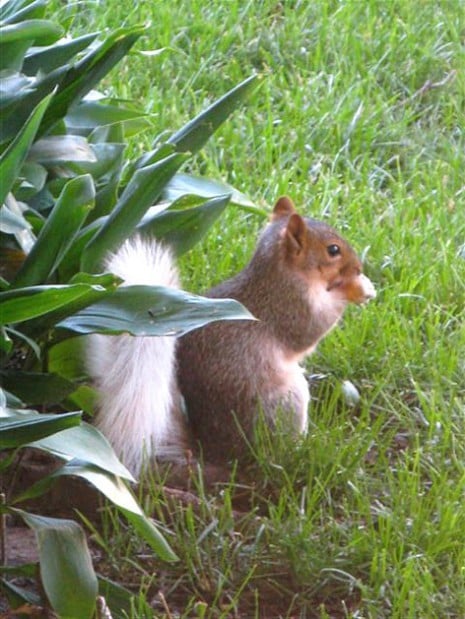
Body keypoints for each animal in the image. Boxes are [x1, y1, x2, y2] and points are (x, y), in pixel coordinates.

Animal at [87, 196, 376, 478]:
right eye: (333, 250)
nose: (358, 267)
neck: (276, 274)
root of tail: (220, 456)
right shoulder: (290, 308)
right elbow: (310, 330)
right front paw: (353, 290)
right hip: (283, 402)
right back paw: (299, 449)